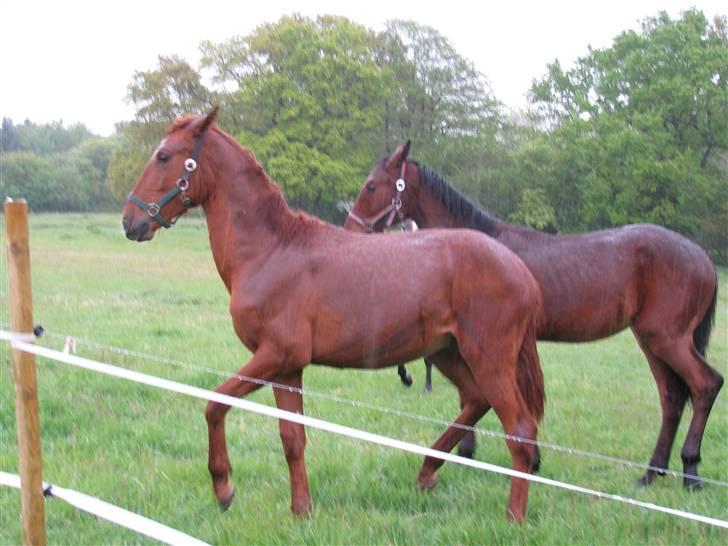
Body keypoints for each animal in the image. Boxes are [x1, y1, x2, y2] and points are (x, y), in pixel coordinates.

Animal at [122, 109, 544, 520]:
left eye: (163, 156)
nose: (130, 221)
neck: (272, 250)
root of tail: (521, 271)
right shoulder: (287, 368)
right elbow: (292, 438)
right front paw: (301, 509)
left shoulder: (274, 356)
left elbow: (215, 404)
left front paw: (223, 488)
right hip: (447, 353)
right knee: (476, 402)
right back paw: (426, 473)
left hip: (487, 358)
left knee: (520, 430)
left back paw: (514, 516)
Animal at [346, 141, 724, 488]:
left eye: (372, 186)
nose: (350, 232)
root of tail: (702, 256)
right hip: (650, 341)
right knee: (672, 398)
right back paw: (651, 473)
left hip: (667, 339)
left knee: (706, 385)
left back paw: (690, 470)